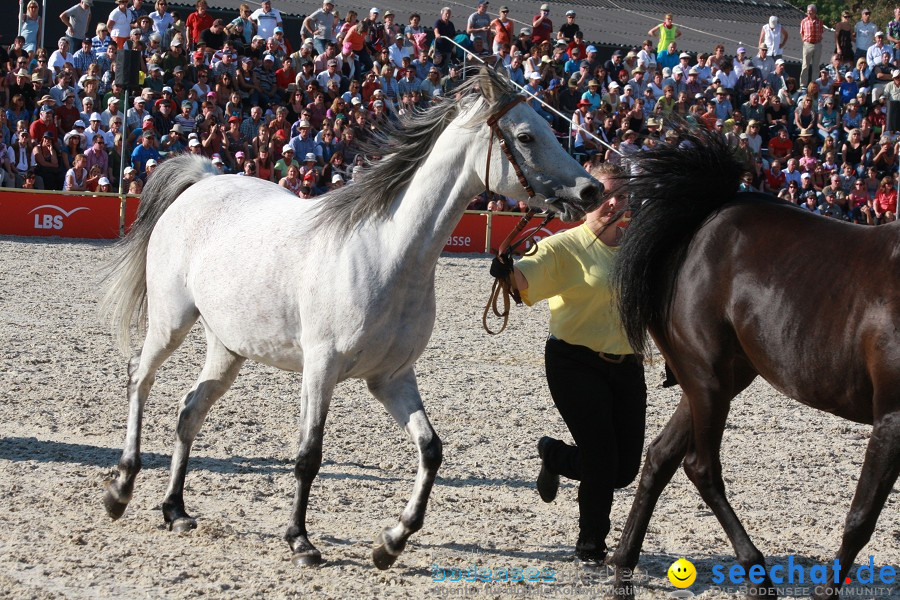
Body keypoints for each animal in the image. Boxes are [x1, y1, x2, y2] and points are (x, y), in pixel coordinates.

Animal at [100, 69, 604, 568]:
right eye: (526, 135)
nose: (590, 190)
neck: (386, 253)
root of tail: (203, 181)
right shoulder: (320, 370)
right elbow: (309, 455)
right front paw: (301, 542)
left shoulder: (391, 378)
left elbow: (431, 450)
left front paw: (391, 542)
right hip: (170, 322)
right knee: (139, 380)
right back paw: (121, 489)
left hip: (228, 349)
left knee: (190, 411)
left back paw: (176, 510)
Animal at [608, 124, 896, 596]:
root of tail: (705, 214)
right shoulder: (891, 417)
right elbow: (861, 519)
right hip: (708, 380)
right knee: (700, 467)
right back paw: (757, 574)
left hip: (717, 379)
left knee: (660, 457)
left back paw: (623, 571)